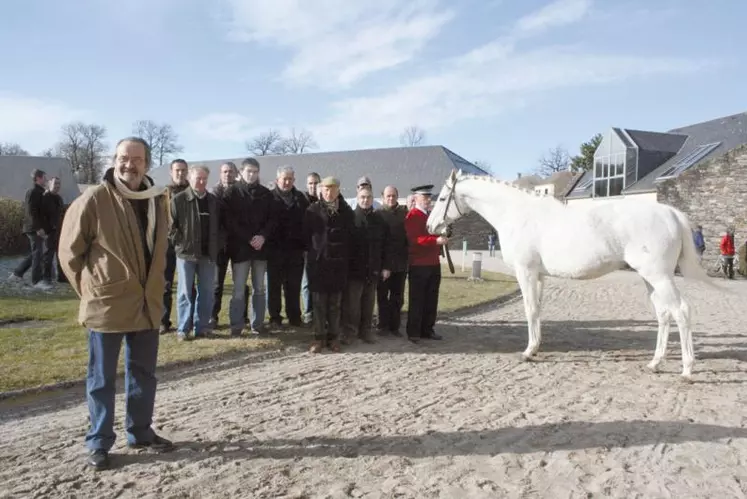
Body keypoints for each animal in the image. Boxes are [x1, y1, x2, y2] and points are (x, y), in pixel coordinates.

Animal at [426, 170, 724, 380]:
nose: (431, 226)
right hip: (650, 278)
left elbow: (529, 309)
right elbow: (537, 310)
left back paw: (687, 369)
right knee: (664, 314)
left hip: (659, 276)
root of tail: (670, 212)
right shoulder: (539, 276)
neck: (517, 214)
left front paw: (528, 352)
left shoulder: (525, 272)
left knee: (681, 311)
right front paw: (536, 347)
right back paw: (655, 362)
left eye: (441, 198)